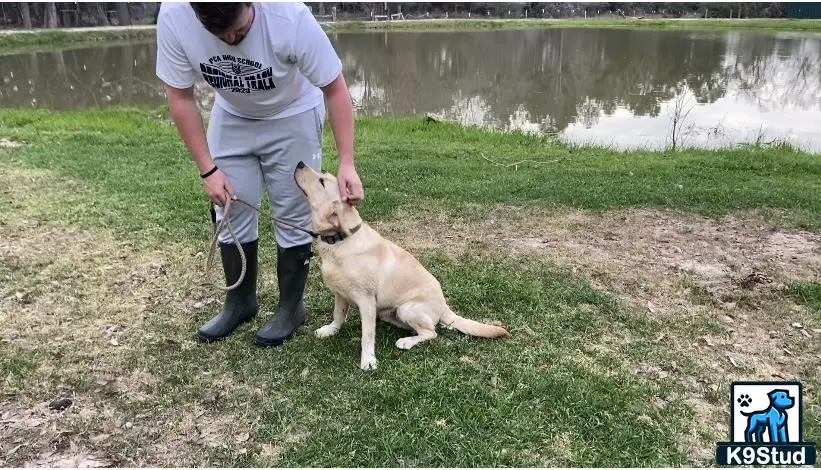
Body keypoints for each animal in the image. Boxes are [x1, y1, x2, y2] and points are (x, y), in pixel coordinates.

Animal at [292, 162, 510, 370]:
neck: (340, 241)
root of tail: (444, 305)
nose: (300, 163)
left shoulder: (366, 300)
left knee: (431, 332)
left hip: (407, 308)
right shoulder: (340, 294)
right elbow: (338, 315)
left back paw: (407, 341)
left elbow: (367, 335)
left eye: (321, 181)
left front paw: (368, 360)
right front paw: (331, 330)